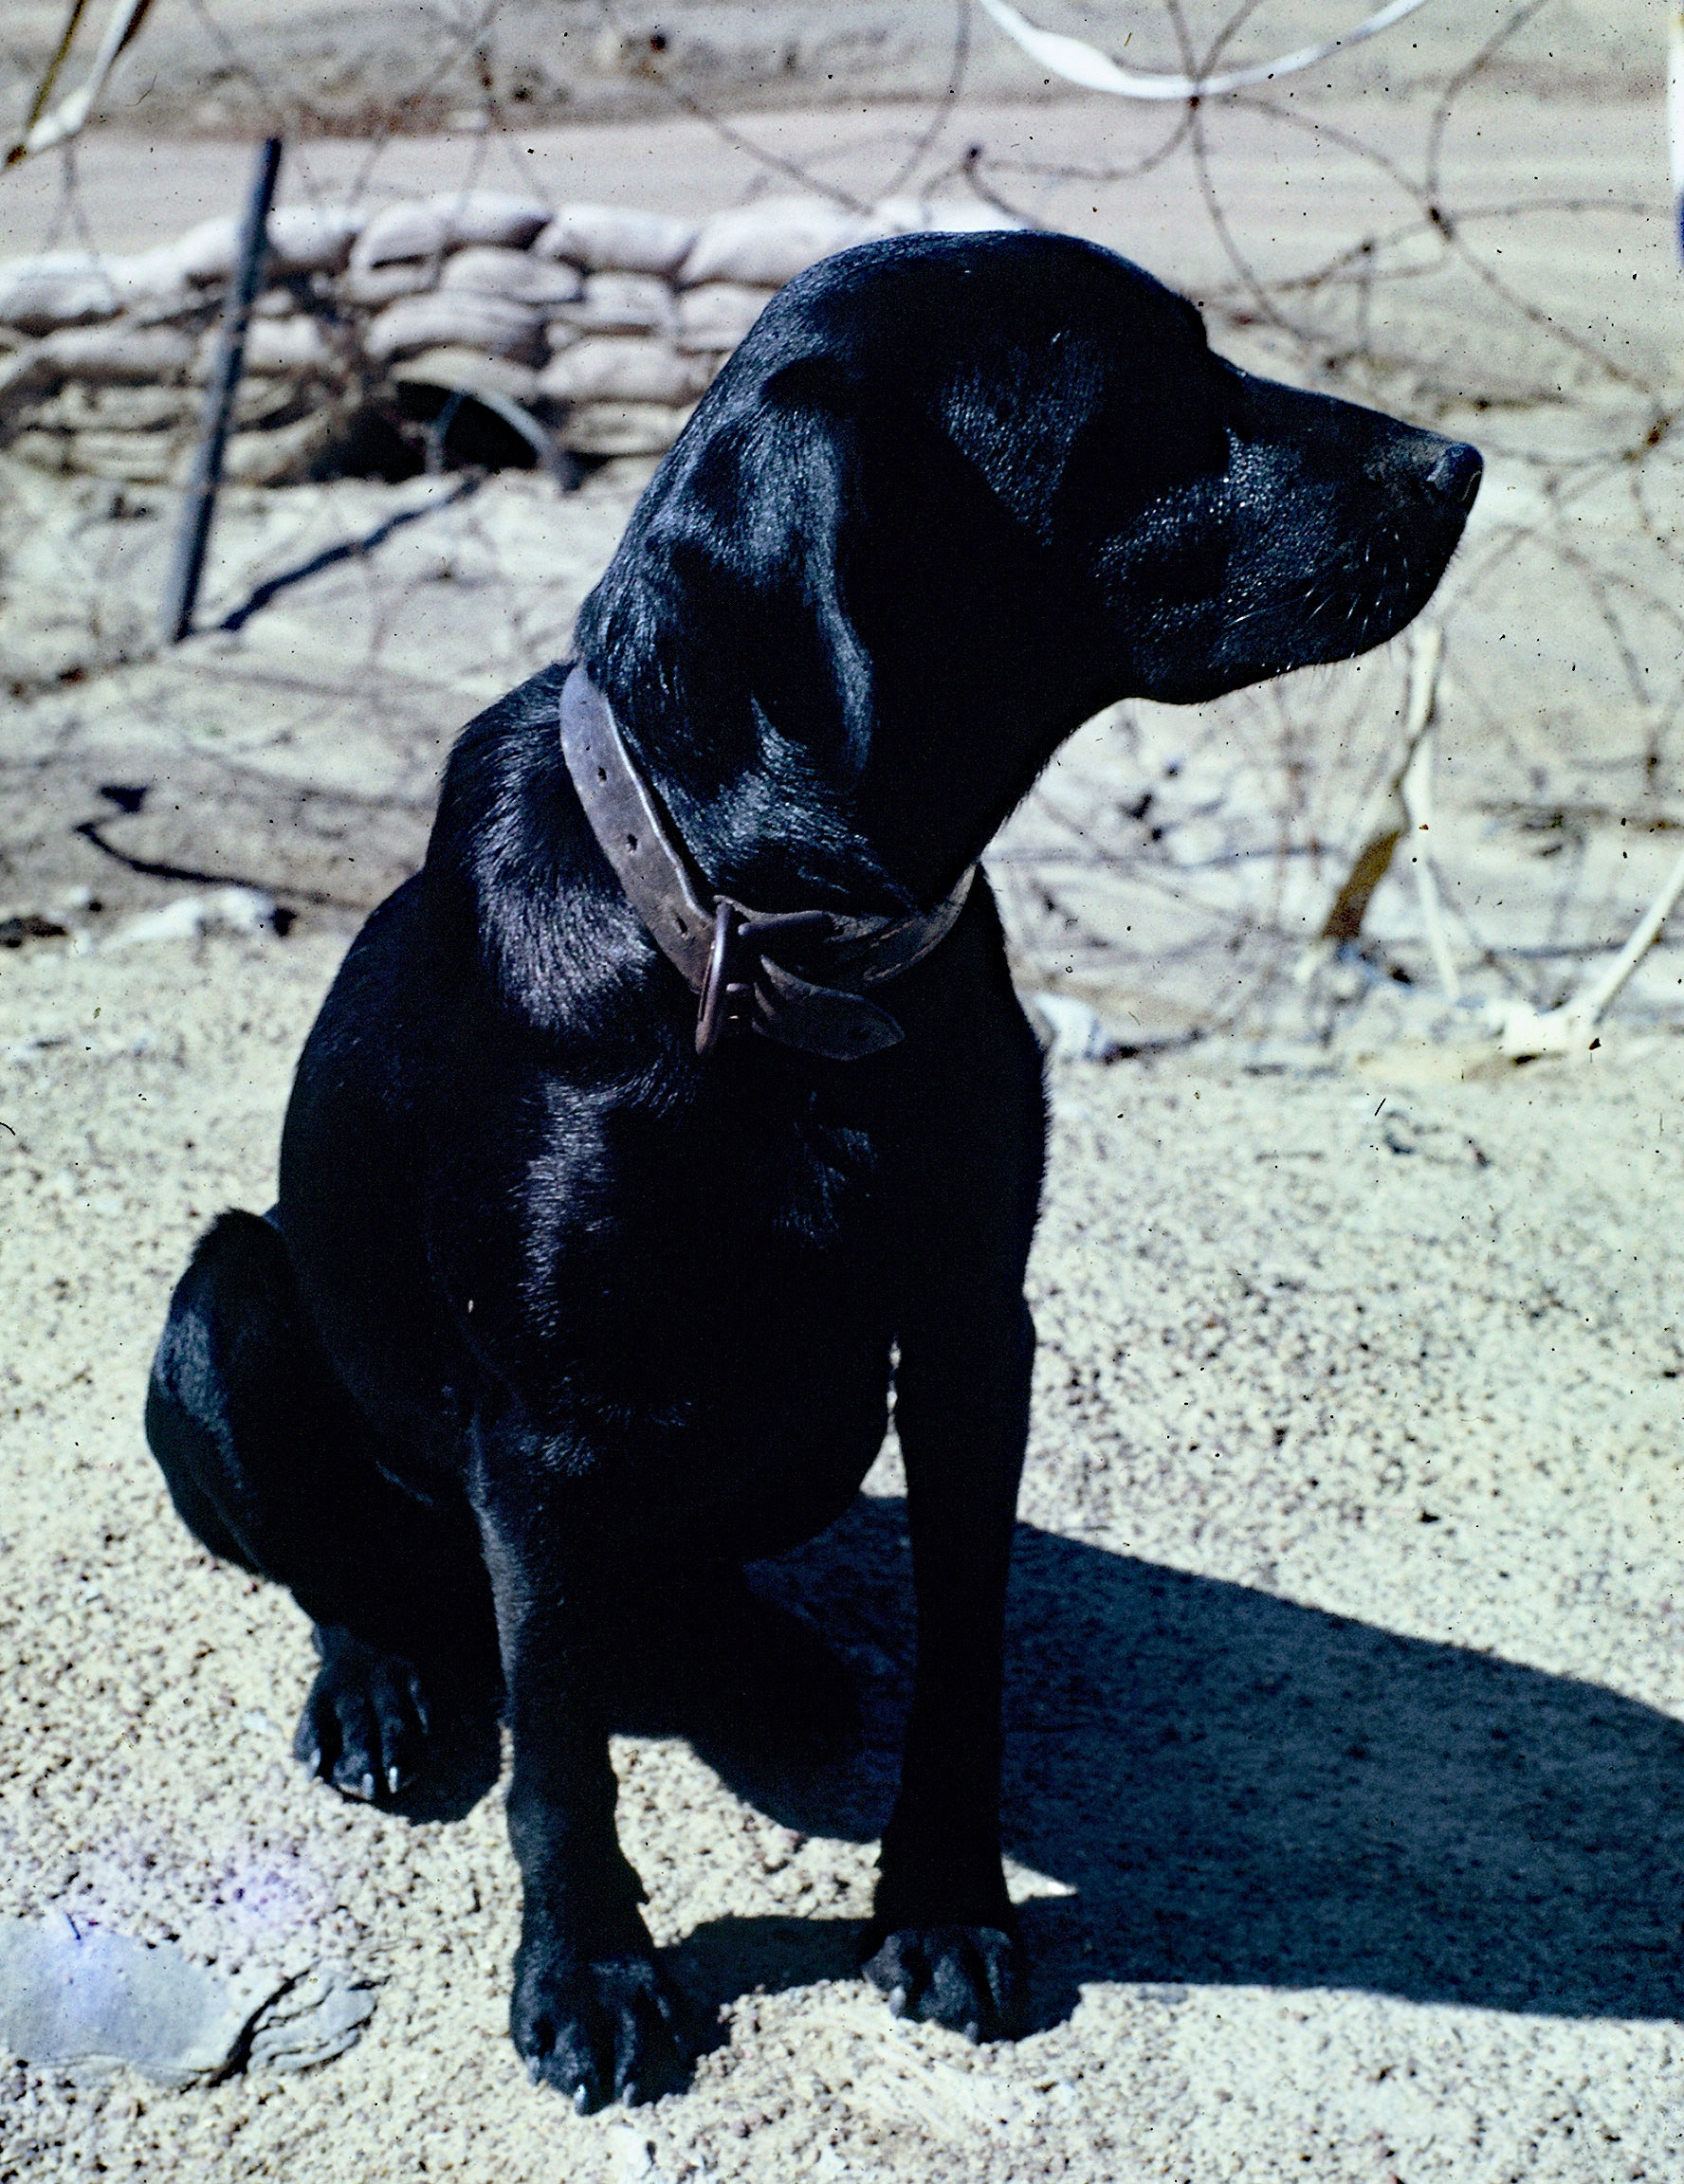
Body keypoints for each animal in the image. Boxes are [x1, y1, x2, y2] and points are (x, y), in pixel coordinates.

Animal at [145, 230, 1480, 2110]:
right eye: (1157, 404)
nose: (1464, 465)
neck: (771, 935)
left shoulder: (972, 1330)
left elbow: (963, 1652)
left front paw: (944, 1903)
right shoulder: (536, 1423)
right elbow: (560, 1744)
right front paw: (590, 1970)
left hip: (821, 1407)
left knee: (676, 1573)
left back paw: (752, 1651)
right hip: (226, 1309)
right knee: (355, 1573)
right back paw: (383, 1690)